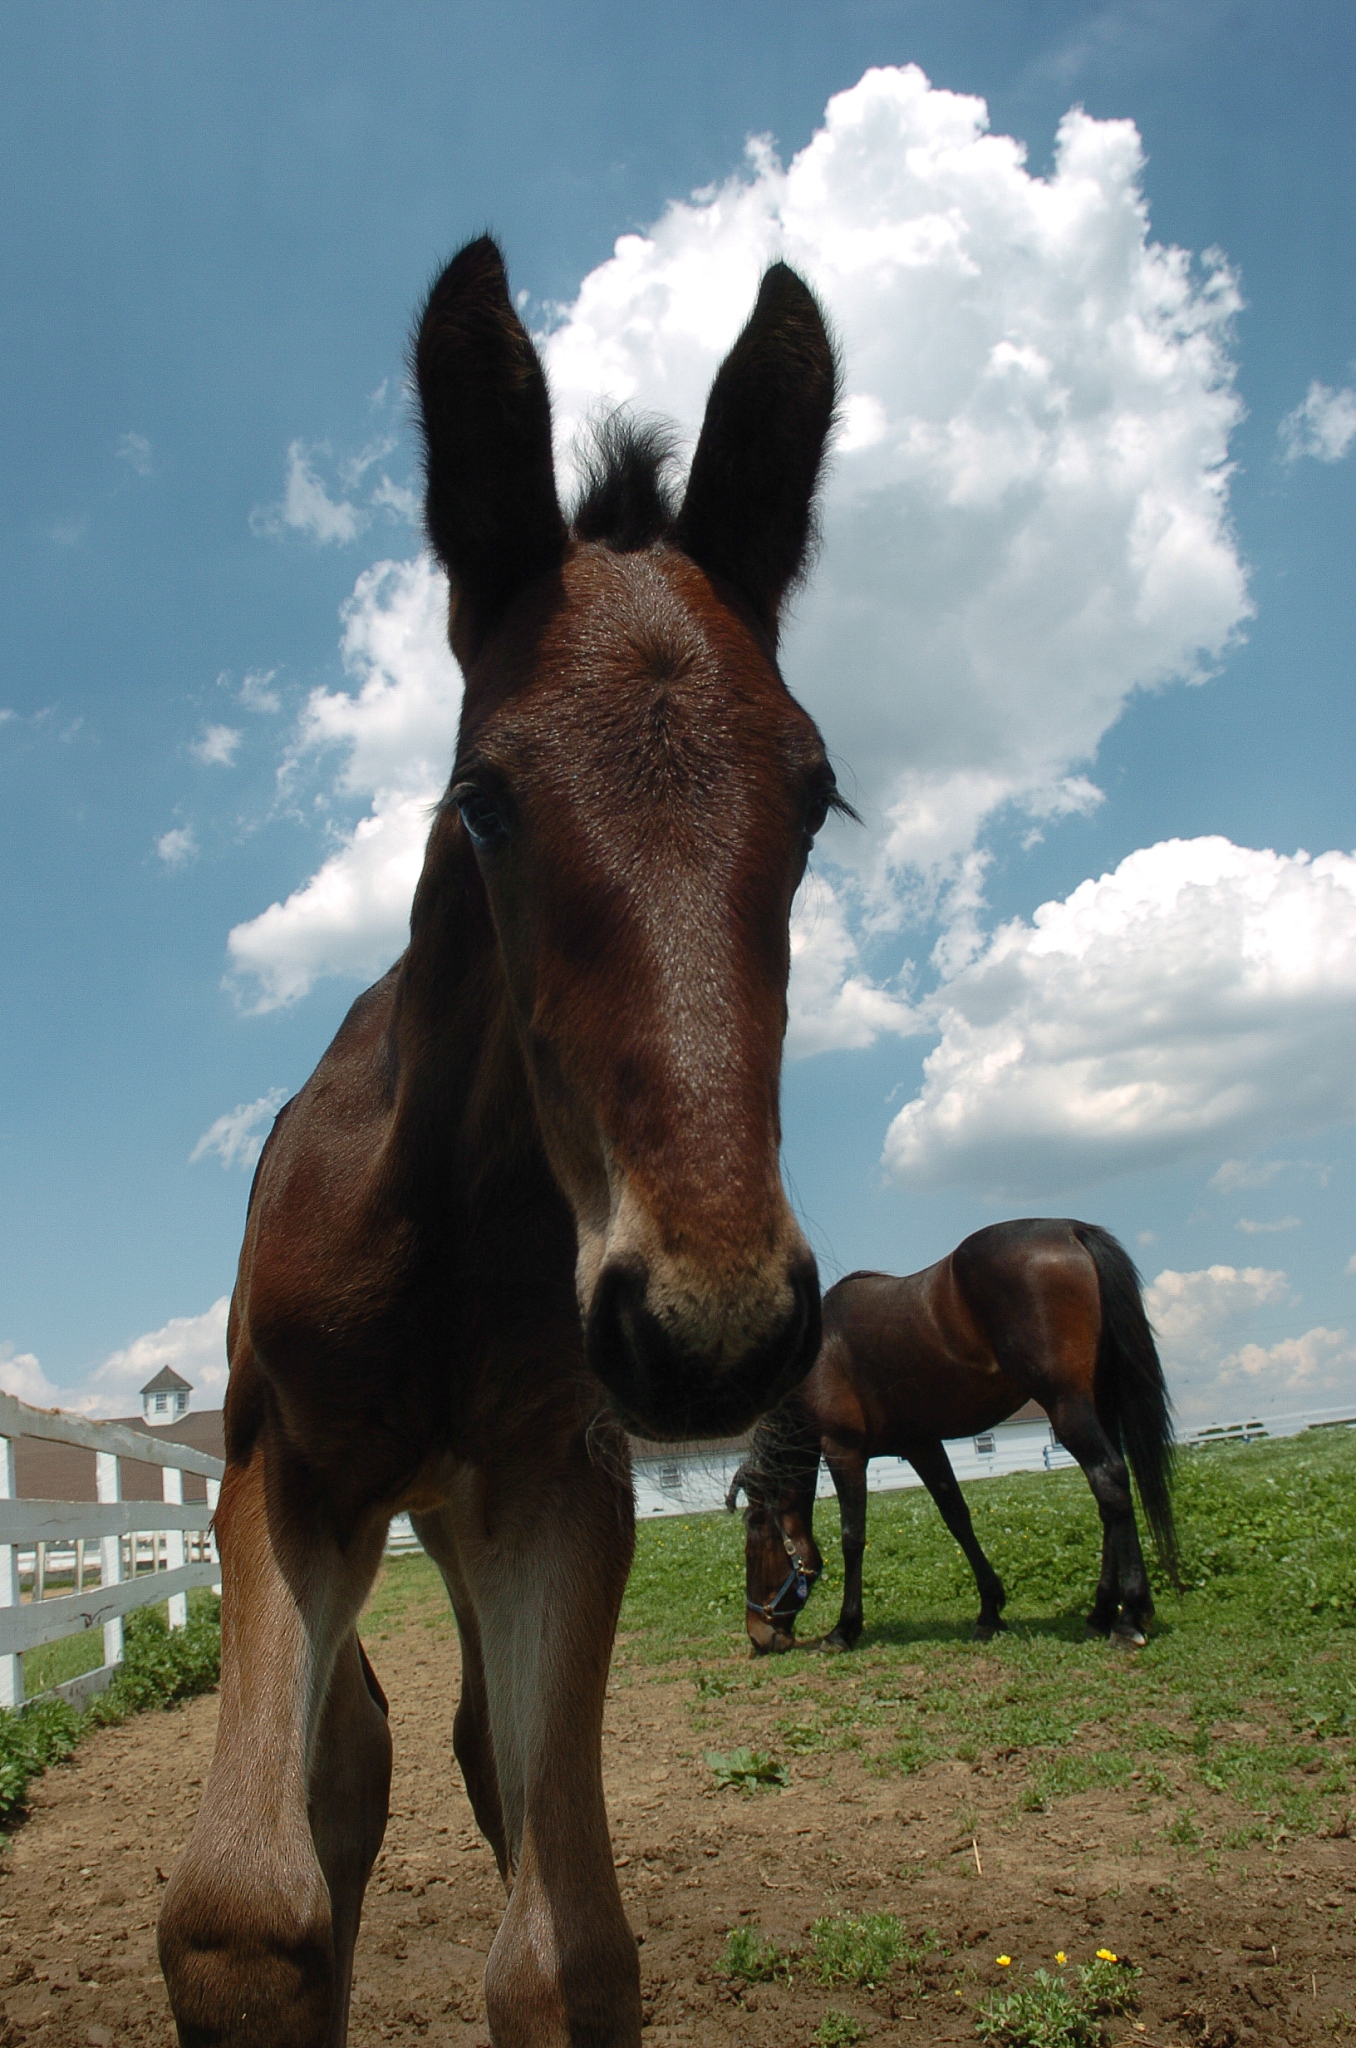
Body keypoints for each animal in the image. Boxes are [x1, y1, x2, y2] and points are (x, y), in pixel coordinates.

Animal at [157, 237, 844, 2048]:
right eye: (483, 798)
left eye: (816, 798)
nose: (709, 1327)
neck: (446, 1225)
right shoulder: (279, 1469)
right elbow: (246, 1908)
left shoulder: (556, 1478)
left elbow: (568, 1950)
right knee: (349, 1770)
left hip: (464, 1515)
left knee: (473, 1754)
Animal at [728, 1219, 1179, 1657]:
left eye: (753, 1547)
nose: (758, 1636)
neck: (824, 1356)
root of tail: (1071, 1231)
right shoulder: (922, 1446)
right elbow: (958, 1518)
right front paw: (990, 1610)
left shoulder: (844, 1451)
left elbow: (852, 1537)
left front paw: (844, 1629)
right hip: (1098, 1405)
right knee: (1110, 1499)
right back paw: (1102, 1613)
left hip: (1067, 1407)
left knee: (1110, 1480)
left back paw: (1129, 1618)